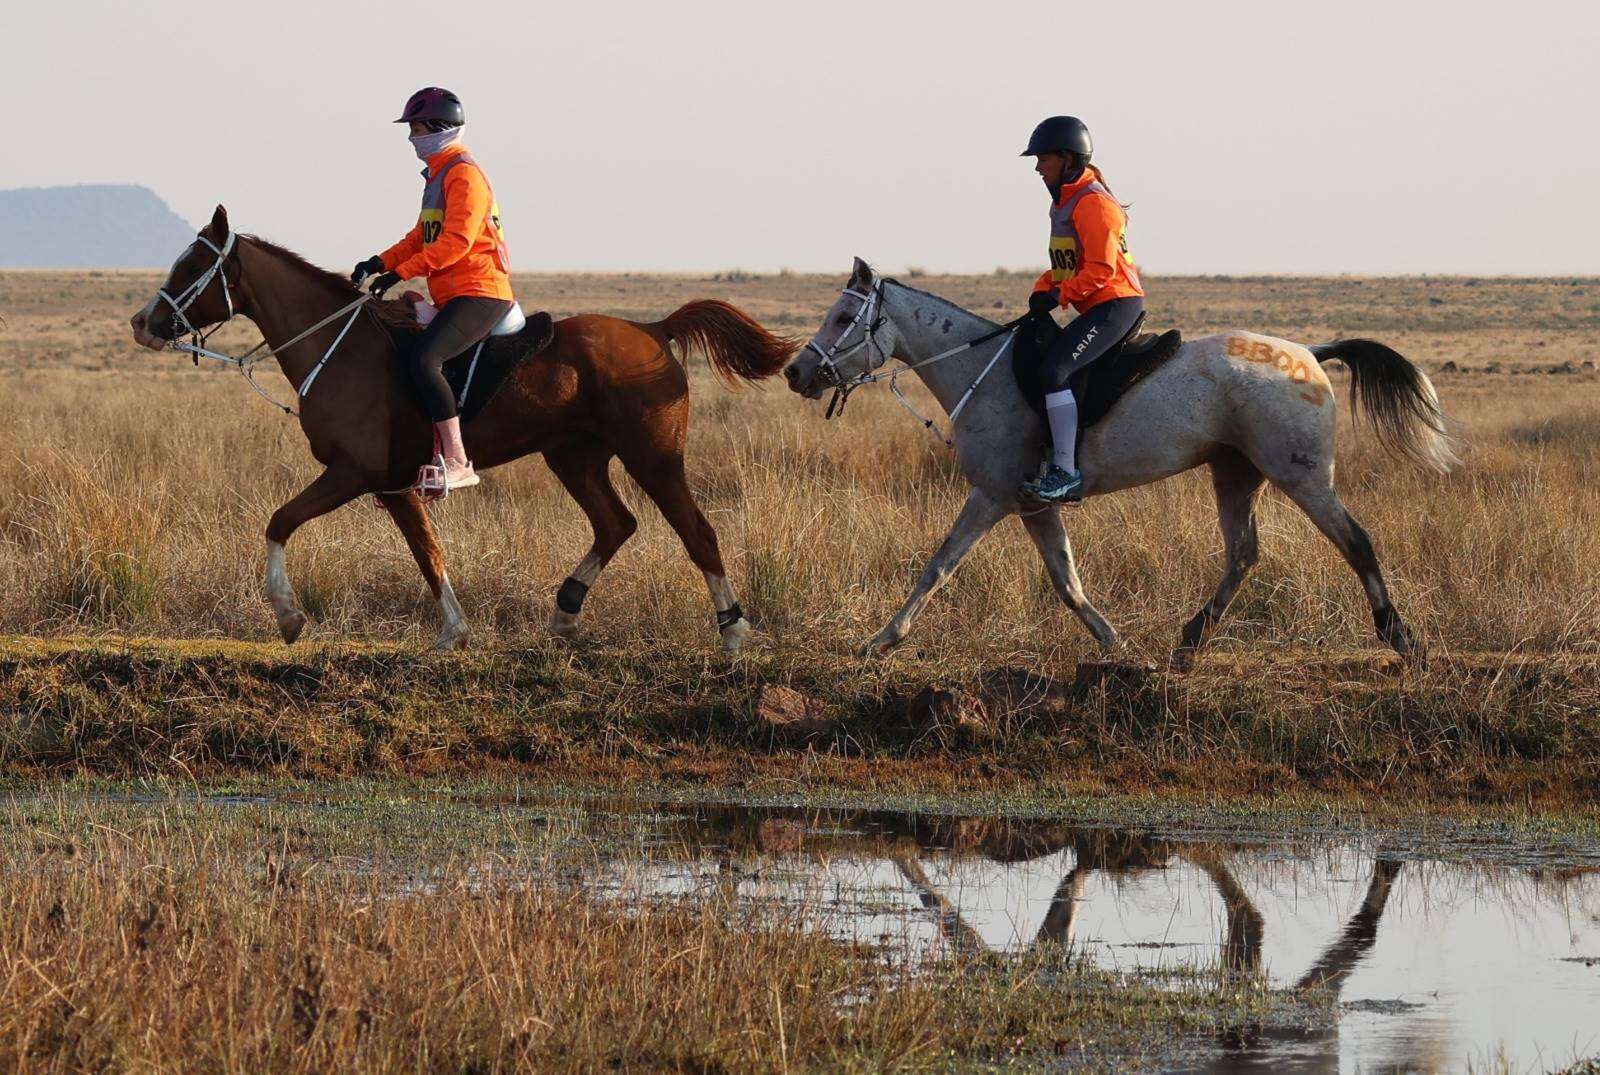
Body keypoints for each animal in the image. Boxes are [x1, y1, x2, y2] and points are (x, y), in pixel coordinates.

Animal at [129, 206, 793, 649]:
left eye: (193, 265)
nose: (142, 322)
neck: (337, 346)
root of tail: (654, 329)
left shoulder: (352, 473)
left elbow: (280, 522)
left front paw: (288, 615)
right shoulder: (393, 486)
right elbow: (430, 555)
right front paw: (454, 630)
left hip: (652, 458)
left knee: (697, 532)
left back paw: (734, 631)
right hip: (574, 457)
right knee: (615, 524)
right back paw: (566, 613)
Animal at [780, 255, 1459, 668]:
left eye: (845, 316)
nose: (795, 372)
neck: (982, 368)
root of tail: (1312, 355)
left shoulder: (992, 496)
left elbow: (939, 566)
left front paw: (882, 639)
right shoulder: (1031, 505)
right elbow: (1067, 581)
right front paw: (1117, 645)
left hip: (1301, 475)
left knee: (1355, 541)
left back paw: (1399, 637)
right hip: (1235, 474)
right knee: (1243, 555)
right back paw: (1189, 642)